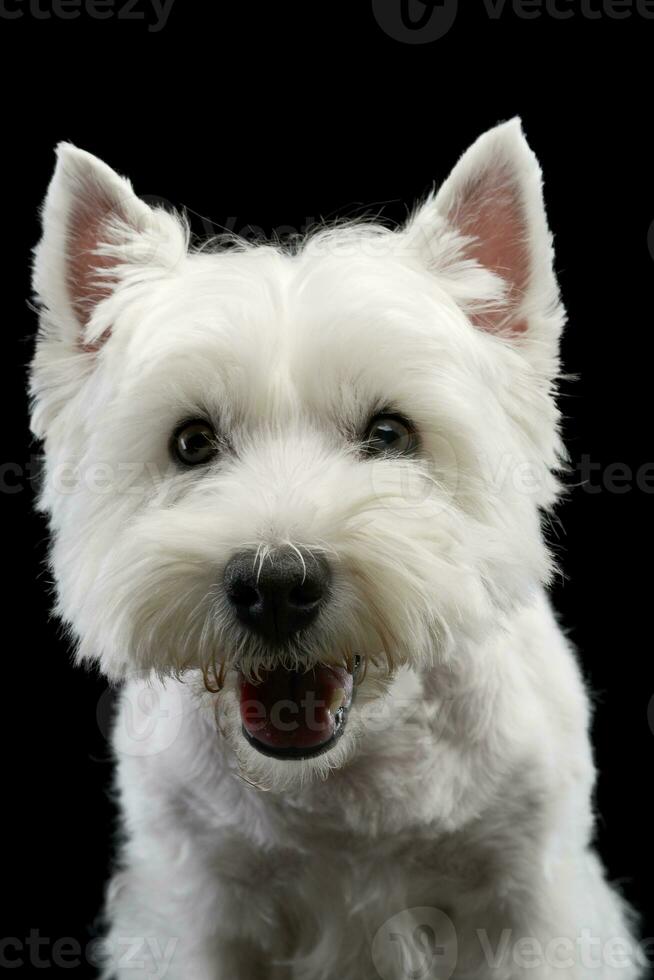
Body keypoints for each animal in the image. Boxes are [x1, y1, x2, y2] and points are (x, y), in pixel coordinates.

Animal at [30, 120, 644, 980]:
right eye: (191, 442)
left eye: (389, 433)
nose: (276, 584)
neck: (340, 796)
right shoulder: (193, 907)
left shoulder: (531, 901)